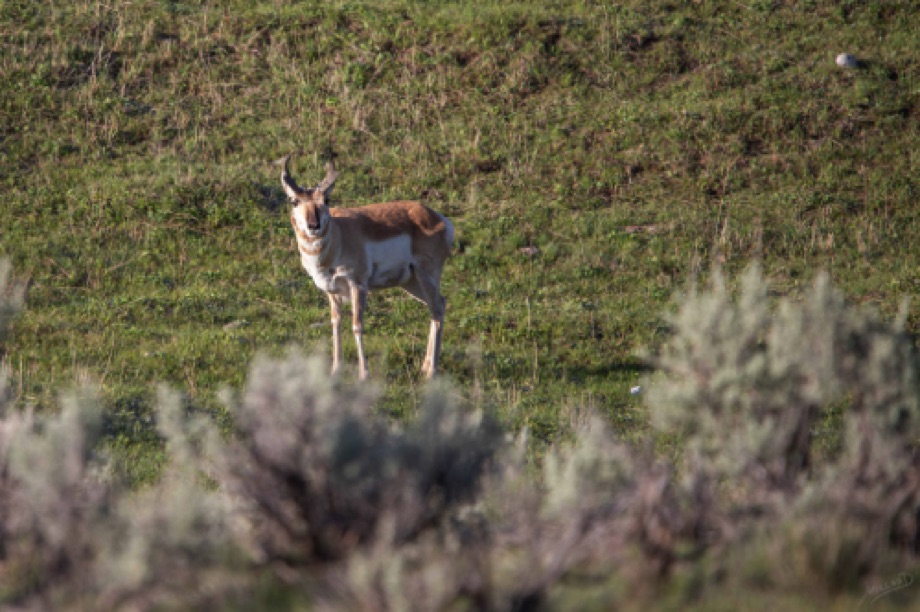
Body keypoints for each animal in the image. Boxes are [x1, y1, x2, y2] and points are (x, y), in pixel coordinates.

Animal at [278, 153, 454, 380]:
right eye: (294, 201)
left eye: (326, 199)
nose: (314, 226)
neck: (339, 235)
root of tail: (437, 218)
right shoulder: (332, 291)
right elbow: (336, 323)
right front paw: (336, 370)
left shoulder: (358, 286)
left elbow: (357, 326)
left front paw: (364, 374)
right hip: (411, 283)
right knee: (437, 306)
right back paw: (425, 366)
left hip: (426, 276)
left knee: (437, 308)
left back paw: (432, 371)